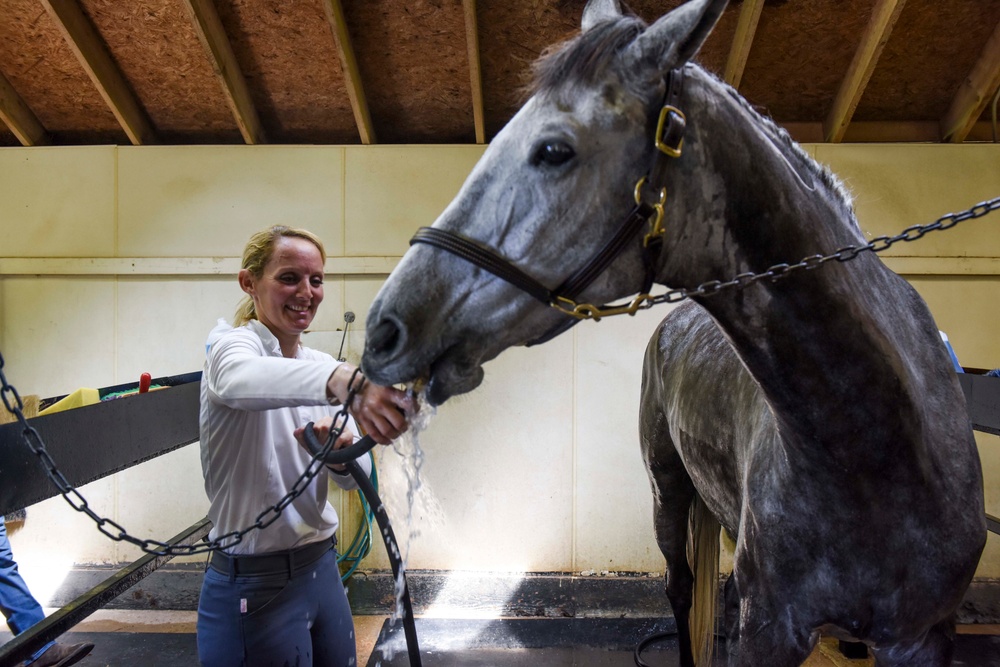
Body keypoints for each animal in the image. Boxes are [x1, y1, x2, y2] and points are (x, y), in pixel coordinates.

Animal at [362, 2, 984, 664]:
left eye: (554, 150)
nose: (383, 330)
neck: (875, 448)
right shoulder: (770, 629)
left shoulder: (920, 638)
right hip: (667, 488)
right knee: (680, 587)